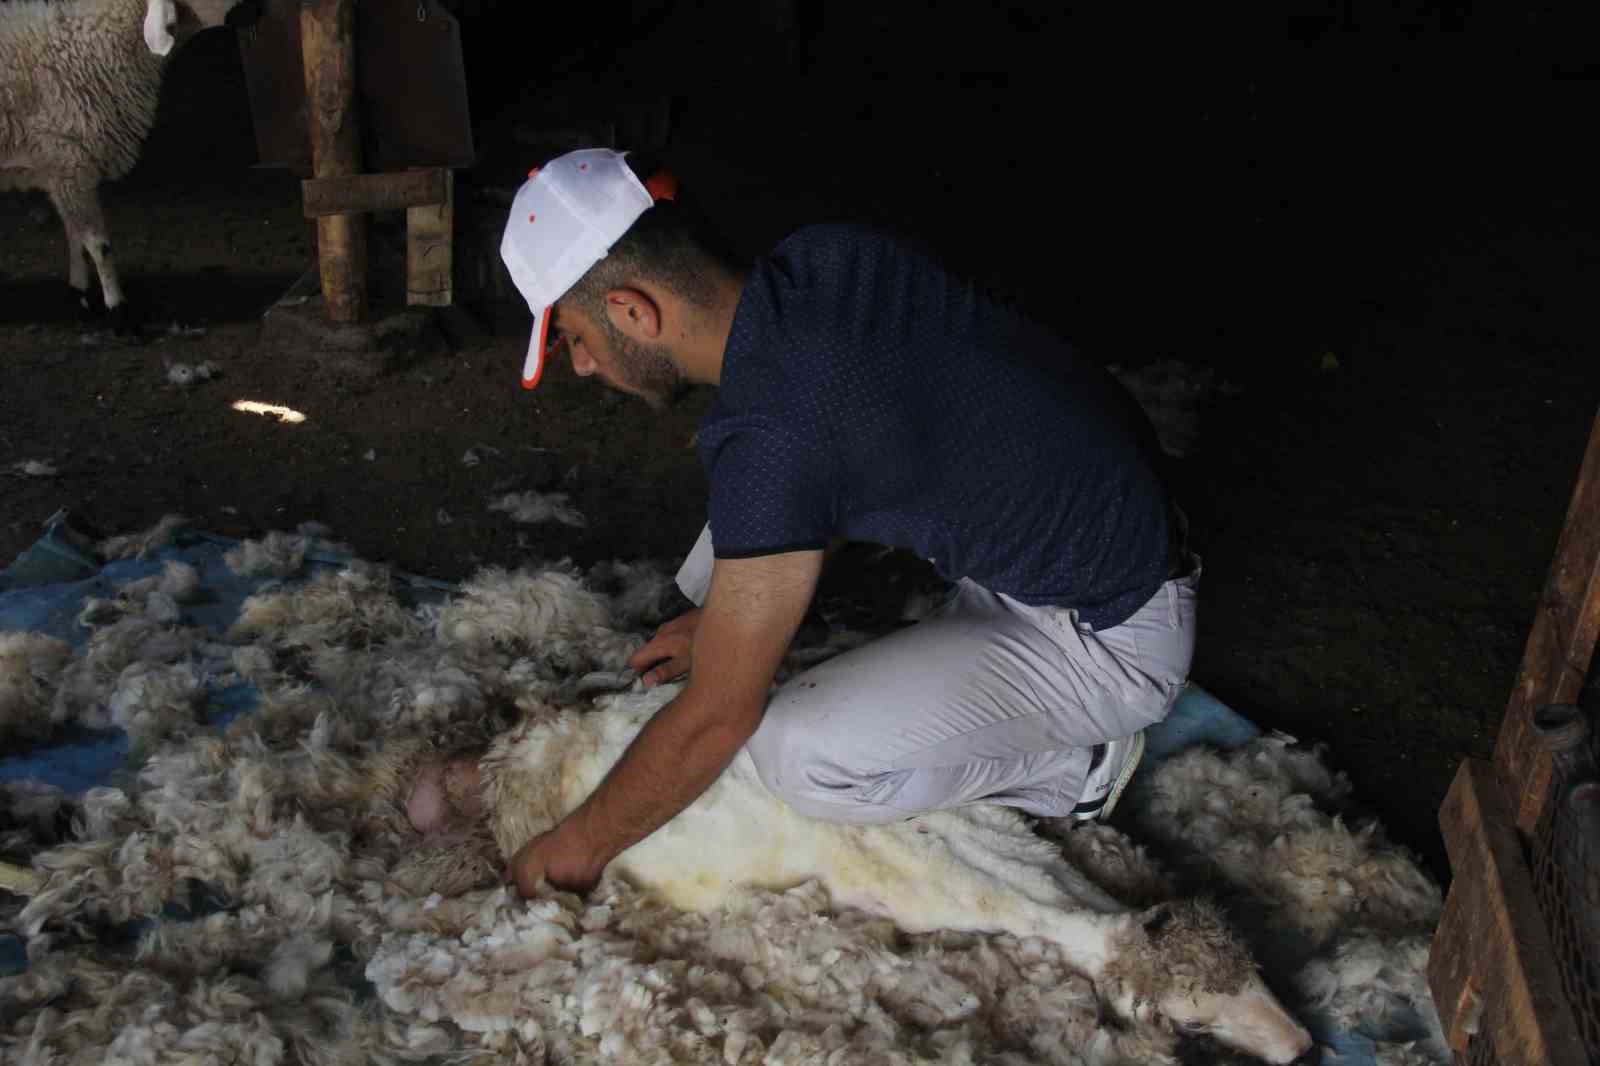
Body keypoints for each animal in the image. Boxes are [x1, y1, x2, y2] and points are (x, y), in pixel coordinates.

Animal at [0, 0, 243, 328]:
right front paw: (118, 309)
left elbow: (74, 235)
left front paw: (80, 293)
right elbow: (98, 244)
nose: (258, 10)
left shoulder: (62, 170)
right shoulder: (69, 162)